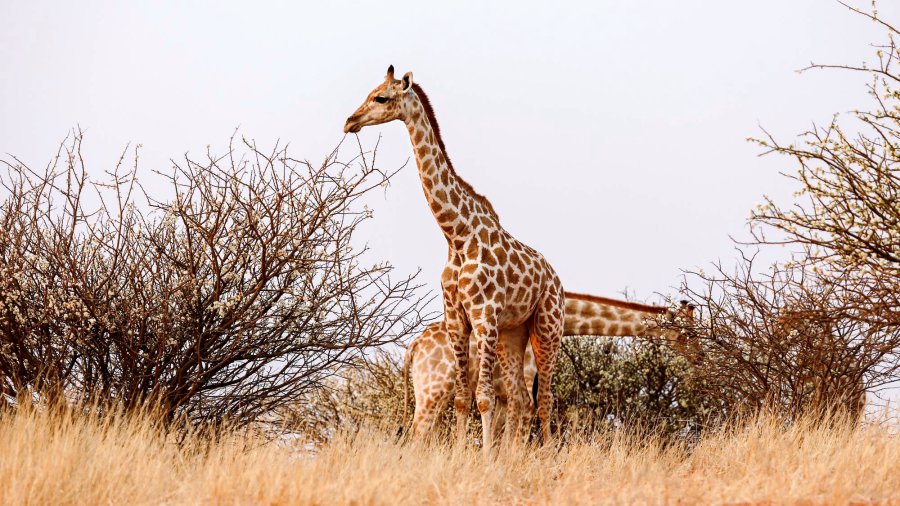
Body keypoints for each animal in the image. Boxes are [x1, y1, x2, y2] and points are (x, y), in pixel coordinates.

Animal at [344, 67, 564, 450]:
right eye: (369, 92)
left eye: (381, 98)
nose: (349, 122)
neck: (457, 235)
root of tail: (555, 278)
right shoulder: (457, 317)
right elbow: (464, 399)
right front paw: (465, 454)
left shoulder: (484, 315)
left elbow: (484, 398)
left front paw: (485, 457)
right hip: (513, 332)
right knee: (522, 397)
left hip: (547, 326)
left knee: (545, 399)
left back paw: (547, 453)